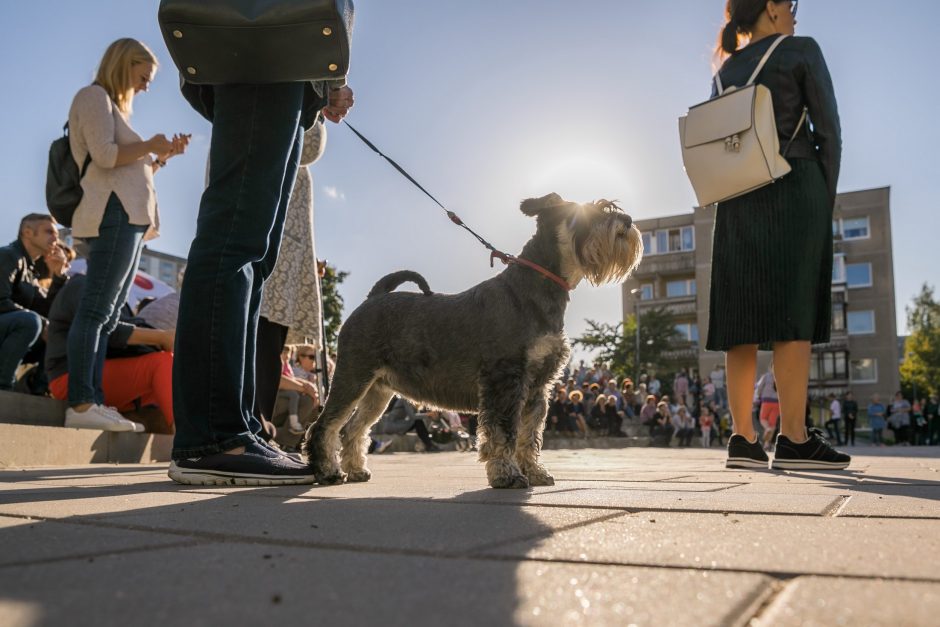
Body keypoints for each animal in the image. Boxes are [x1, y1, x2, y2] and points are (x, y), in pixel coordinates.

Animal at [304, 194, 644, 488]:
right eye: (589, 212)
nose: (627, 221)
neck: (535, 288)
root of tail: (373, 298)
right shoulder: (505, 379)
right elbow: (503, 432)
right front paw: (506, 474)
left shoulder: (537, 387)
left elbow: (529, 435)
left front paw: (534, 471)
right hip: (352, 376)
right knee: (325, 424)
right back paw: (328, 472)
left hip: (378, 391)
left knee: (354, 428)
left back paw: (355, 469)